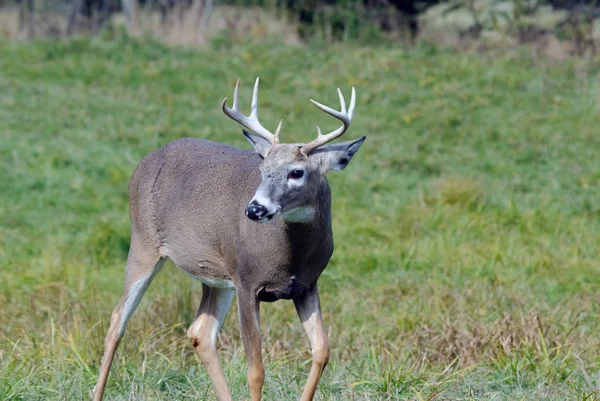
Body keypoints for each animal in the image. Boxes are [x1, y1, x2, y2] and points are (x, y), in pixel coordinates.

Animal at [92, 77, 366, 400]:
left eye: (297, 172)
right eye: (262, 169)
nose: (254, 209)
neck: (291, 257)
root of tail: (144, 162)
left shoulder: (307, 284)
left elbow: (322, 350)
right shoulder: (247, 280)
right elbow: (256, 370)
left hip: (216, 276)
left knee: (200, 331)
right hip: (144, 244)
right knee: (116, 321)